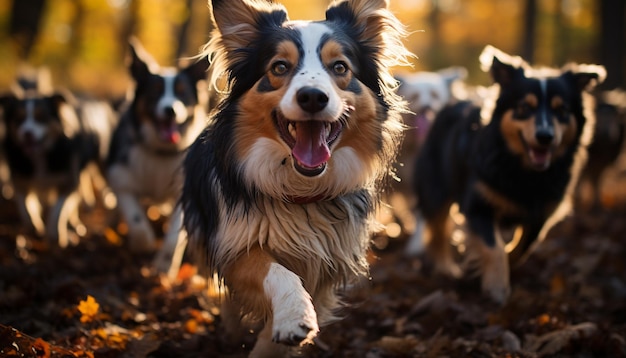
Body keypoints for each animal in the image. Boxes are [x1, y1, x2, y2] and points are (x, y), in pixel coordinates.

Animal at [103, 37, 208, 274]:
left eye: (182, 92)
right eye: (155, 91)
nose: (171, 110)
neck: (161, 152)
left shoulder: (183, 192)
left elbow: (174, 237)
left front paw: (163, 267)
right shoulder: (123, 179)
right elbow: (136, 220)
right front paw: (143, 244)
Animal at [180, 0, 412, 354]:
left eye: (340, 67)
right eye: (279, 67)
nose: (313, 96)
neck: (301, 190)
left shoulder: (328, 260)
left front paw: (273, 342)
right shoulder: (236, 242)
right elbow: (277, 272)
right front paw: (293, 317)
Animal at [410, 44, 604, 302]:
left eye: (561, 110)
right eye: (524, 107)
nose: (545, 136)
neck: (523, 169)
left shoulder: (542, 212)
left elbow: (524, 245)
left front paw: (504, 265)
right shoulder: (477, 205)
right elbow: (494, 248)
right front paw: (496, 287)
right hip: (436, 187)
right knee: (438, 228)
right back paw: (445, 268)